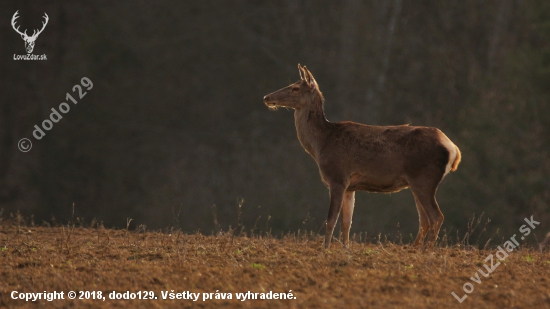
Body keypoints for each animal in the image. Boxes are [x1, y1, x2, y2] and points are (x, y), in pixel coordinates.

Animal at [264, 64, 462, 248]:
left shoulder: (337, 177)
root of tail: (453, 149)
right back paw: (413, 249)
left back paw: (425, 250)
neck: (320, 144)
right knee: (425, 219)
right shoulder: (350, 187)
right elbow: (346, 223)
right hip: (416, 182)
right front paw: (345, 248)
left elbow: (331, 220)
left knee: (436, 216)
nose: (267, 97)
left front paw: (325, 248)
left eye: (295, 88)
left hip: (424, 178)